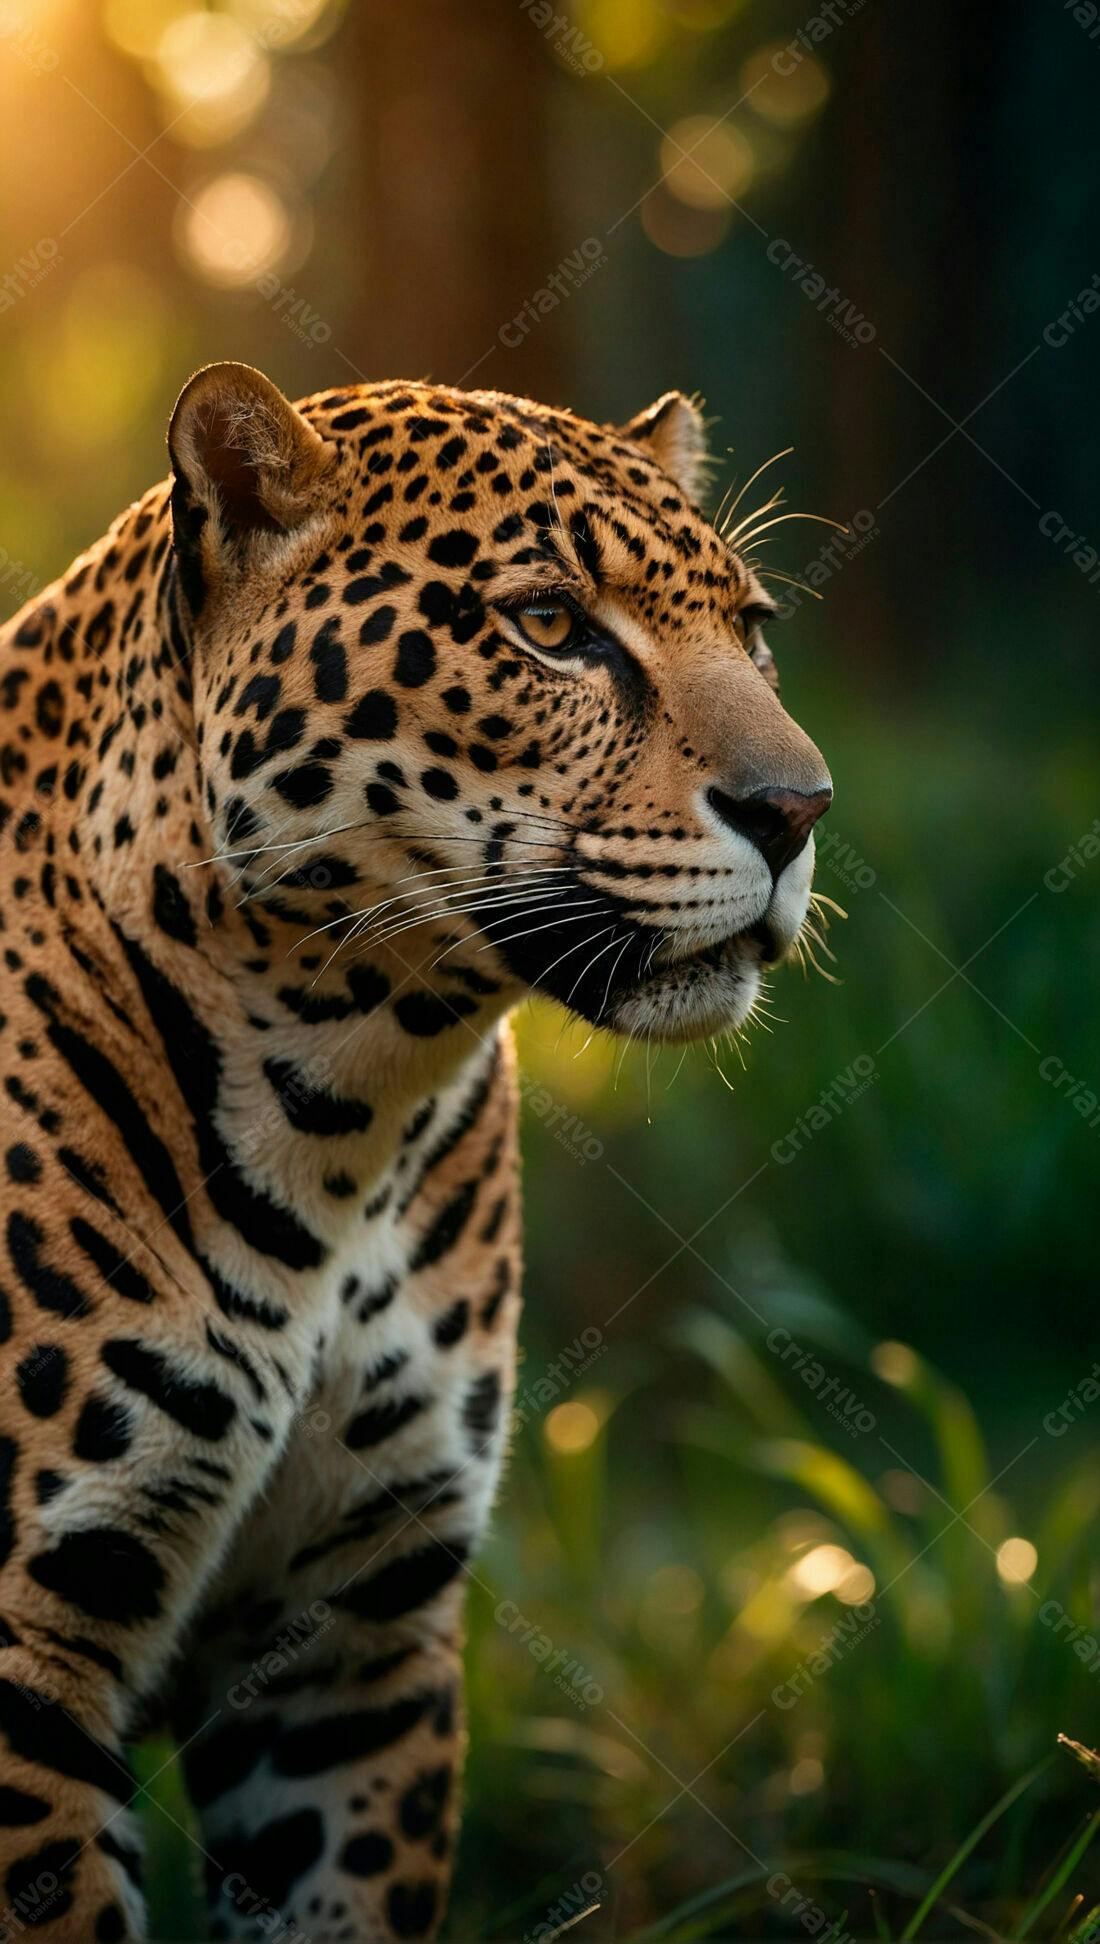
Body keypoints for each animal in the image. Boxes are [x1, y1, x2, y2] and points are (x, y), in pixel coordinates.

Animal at [0, 360, 831, 1942]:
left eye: (756, 633)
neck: (341, 1115)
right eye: (550, 626)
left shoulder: (354, 1639)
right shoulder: (26, 1640)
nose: (797, 811)